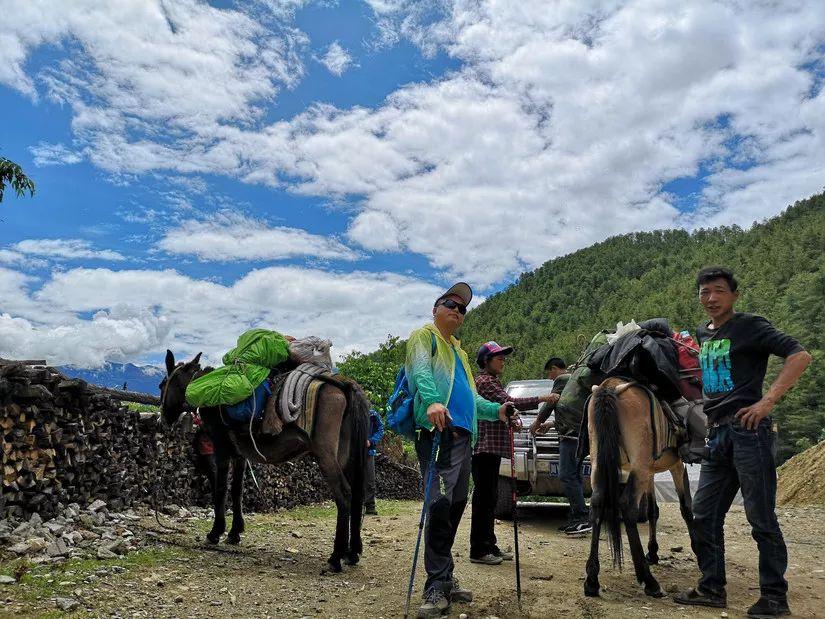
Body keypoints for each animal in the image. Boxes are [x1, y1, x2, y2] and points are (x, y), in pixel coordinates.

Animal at [159, 352, 370, 572]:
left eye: (162, 384)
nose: (162, 420)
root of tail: (343, 384)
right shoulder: (240, 454)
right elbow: (237, 490)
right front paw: (235, 533)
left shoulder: (221, 448)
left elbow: (221, 489)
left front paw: (216, 532)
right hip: (347, 456)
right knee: (357, 494)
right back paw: (352, 553)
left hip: (326, 455)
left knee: (344, 494)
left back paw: (336, 557)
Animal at [584, 378, 696, 600]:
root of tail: (609, 388)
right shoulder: (676, 465)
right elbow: (686, 506)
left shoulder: (650, 472)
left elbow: (653, 510)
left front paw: (652, 552)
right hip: (639, 467)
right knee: (628, 507)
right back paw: (649, 581)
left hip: (600, 464)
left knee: (597, 503)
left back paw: (592, 579)